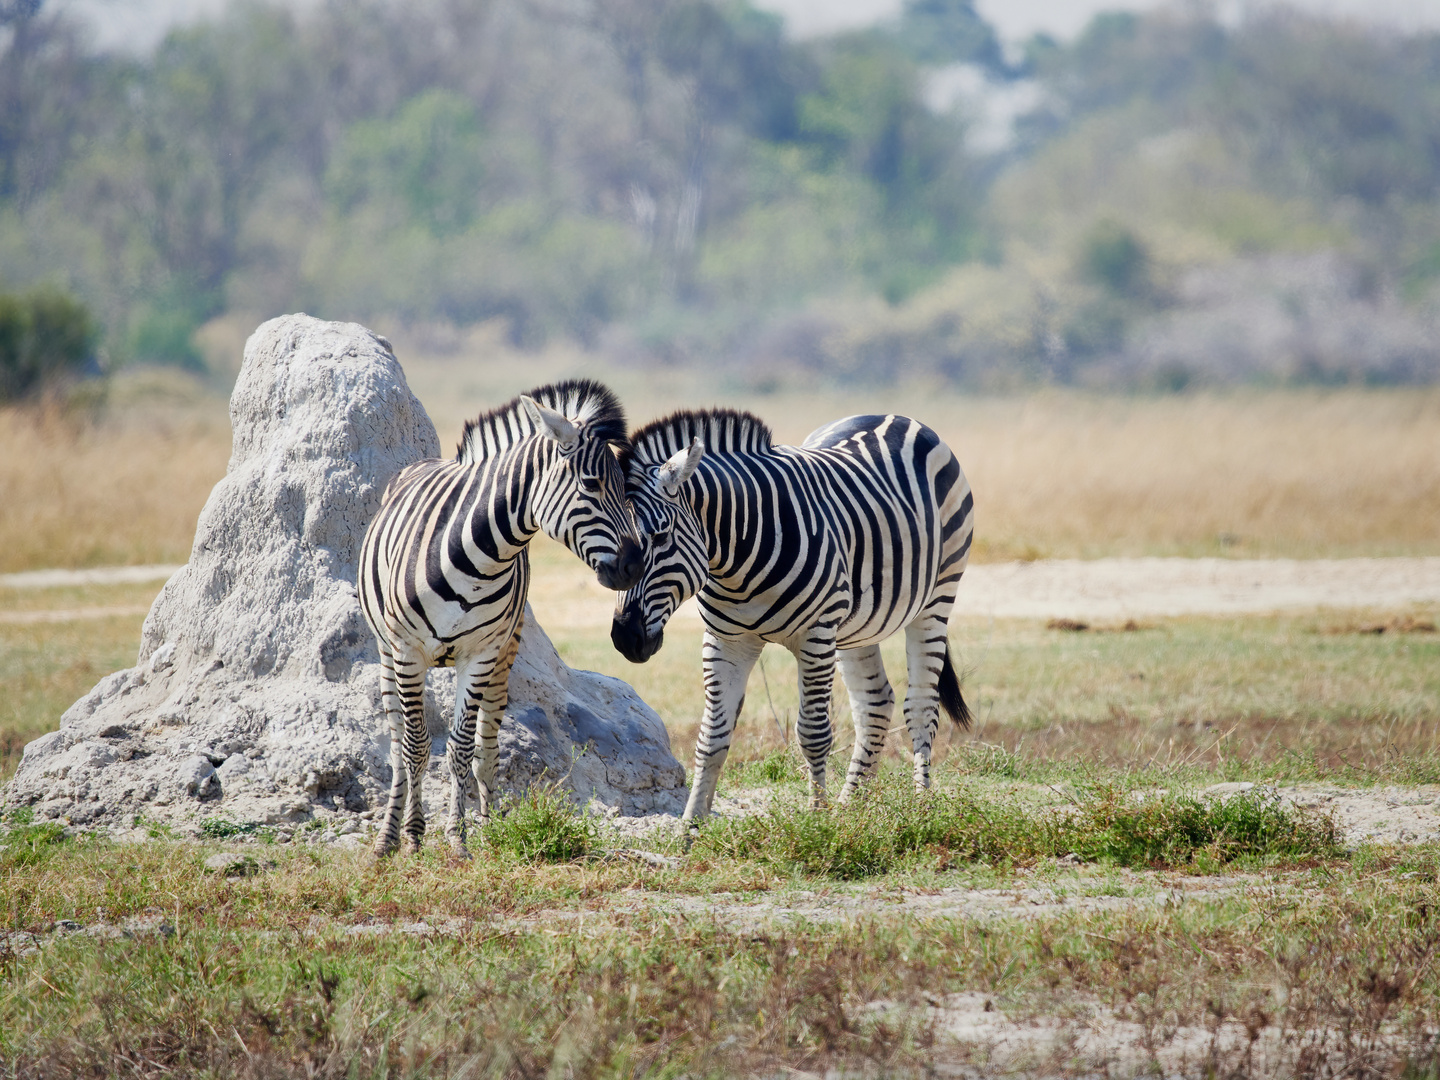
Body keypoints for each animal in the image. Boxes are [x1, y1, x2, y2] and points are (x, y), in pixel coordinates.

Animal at [357, 380, 639, 864]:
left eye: (626, 488)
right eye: (592, 484)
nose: (636, 565)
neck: (481, 554)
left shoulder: (481, 654)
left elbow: (461, 747)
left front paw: (459, 838)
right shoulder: (409, 652)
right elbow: (416, 747)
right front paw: (413, 836)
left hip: (505, 654)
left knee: (487, 744)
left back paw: (488, 826)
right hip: (387, 653)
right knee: (396, 742)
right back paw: (387, 838)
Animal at [613, 408, 973, 823]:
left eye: (660, 536)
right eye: (616, 540)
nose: (624, 637)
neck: (736, 563)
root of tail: (892, 416)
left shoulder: (816, 633)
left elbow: (813, 733)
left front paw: (817, 820)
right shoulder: (726, 640)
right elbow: (712, 737)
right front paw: (690, 828)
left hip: (937, 596)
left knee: (921, 706)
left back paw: (921, 809)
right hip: (856, 625)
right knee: (874, 703)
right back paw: (851, 808)